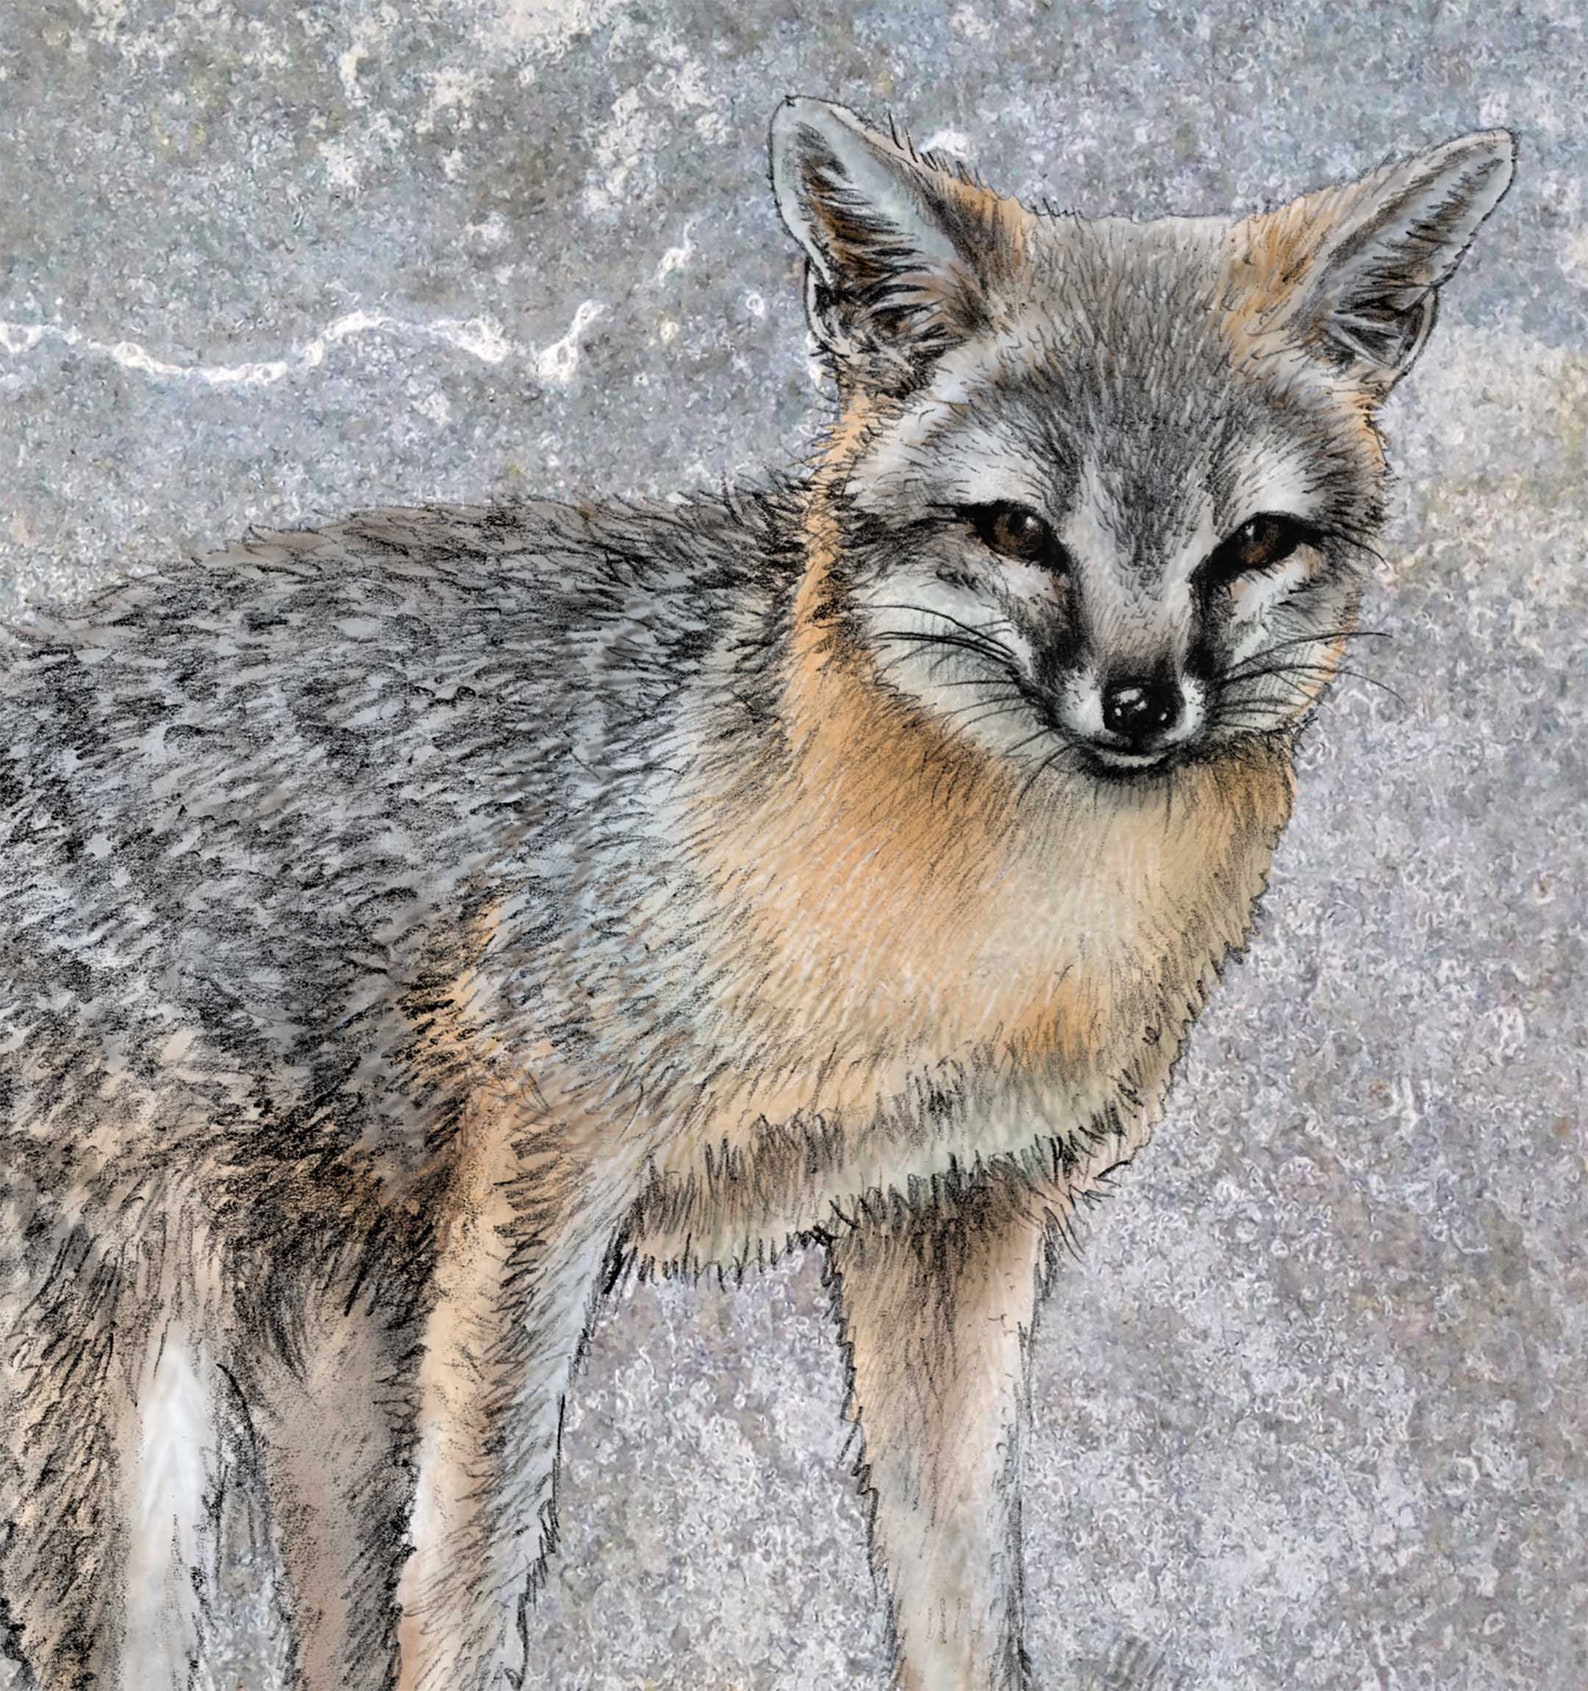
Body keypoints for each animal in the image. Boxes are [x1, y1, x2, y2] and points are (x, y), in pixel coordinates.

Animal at [0, 96, 1513, 1691]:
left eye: (1256, 542)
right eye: (1019, 531)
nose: (1139, 703)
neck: (965, 931)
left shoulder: (953, 1205)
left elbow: (955, 1570)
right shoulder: (550, 1160)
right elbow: (472, 1558)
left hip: (334, 1346)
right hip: (138, 1406)